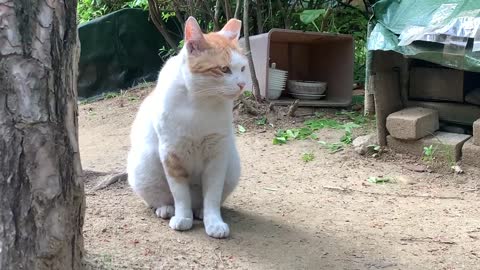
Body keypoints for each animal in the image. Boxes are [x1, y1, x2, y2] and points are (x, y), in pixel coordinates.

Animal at [127, 16, 248, 238]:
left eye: (243, 68)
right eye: (224, 69)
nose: (242, 84)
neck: (201, 103)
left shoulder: (217, 155)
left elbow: (212, 196)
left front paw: (213, 222)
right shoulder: (171, 153)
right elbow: (180, 194)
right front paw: (183, 218)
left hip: (232, 166)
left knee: (204, 201)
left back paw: (199, 211)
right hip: (143, 167)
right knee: (161, 198)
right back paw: (167, 209)